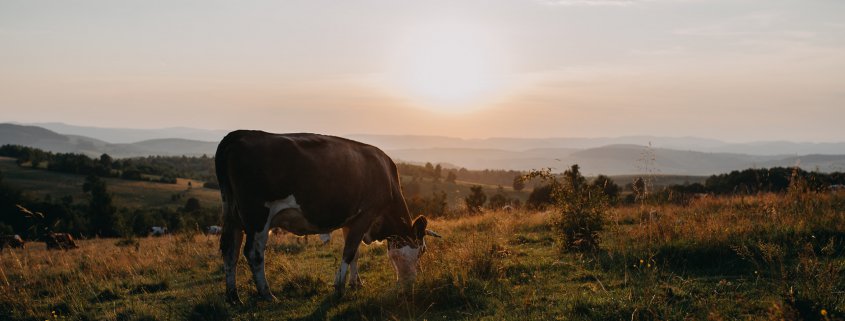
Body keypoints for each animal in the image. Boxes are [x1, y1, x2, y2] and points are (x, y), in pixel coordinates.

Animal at [214, 130, 438, 302]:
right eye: (422, 251)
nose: (409, 285)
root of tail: (240, 134)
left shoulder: (351, 221)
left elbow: (355, 252)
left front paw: (356, 283)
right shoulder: (366, 214)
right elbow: (349, 251)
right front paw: (339, 287)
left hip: (232, 214)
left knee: (230, 250)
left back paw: (233, 296)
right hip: (258, 215)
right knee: (253, 253)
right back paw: (267, 295)